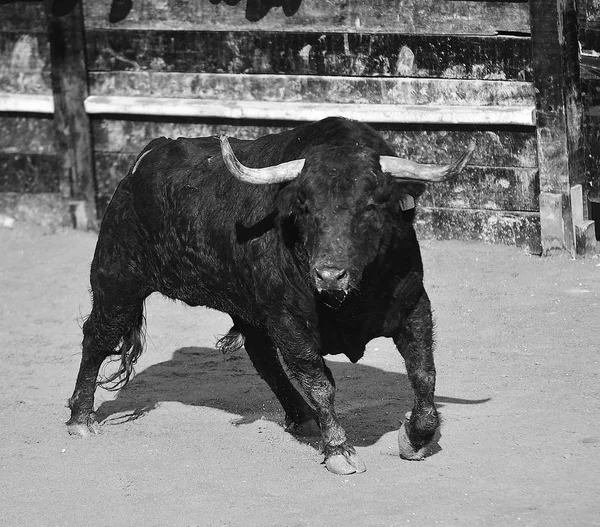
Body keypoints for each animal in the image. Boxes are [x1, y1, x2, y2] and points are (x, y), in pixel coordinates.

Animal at [67, 117, 474, 476]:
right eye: (305, 206)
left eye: (372, 204)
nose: (329, 274)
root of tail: (144, 158)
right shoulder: (289, 319)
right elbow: (319, 382)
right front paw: (339, 451)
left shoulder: (413, 306)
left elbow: (424, 373)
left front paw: (416, 439)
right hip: (117, 281)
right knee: (96, 338)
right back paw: (80, 419)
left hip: (242, 304)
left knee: (262, 356)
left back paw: (300, 416)